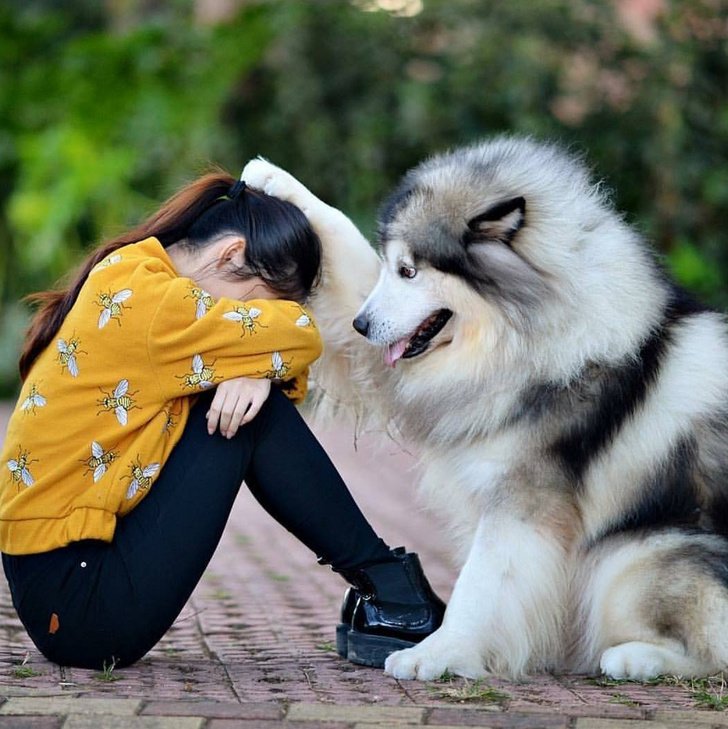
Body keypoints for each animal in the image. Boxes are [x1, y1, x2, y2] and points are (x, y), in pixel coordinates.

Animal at [242, 138, 728, 684]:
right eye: (390, 267)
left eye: (410, 271)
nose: (361, 325)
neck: (523, 333)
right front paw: (273, 177)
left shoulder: (521, 504)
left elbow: (479, 585)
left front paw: (437, 653)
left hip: (635, 556)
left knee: (712, 650)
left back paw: (635, 657)